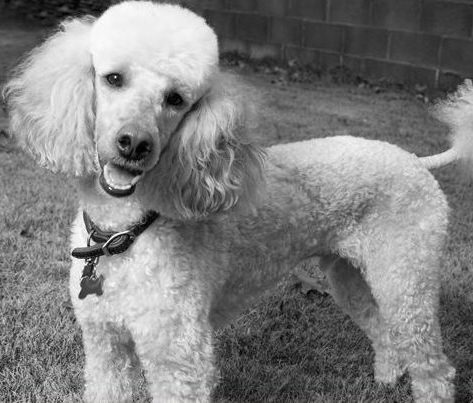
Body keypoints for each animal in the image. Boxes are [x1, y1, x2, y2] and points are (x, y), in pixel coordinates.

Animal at [4, 1, 472, 402]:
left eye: (176, 99)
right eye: (113, 78)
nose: (134, 144)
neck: (125, 232)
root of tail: (413, 159)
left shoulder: (180, 356)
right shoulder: (106, 346)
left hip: (406, 277)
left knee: (434, 365)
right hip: (349, 276)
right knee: (384, 331)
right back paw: (386, 379)